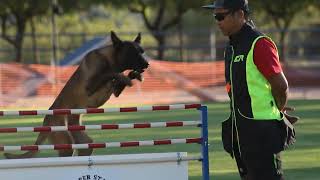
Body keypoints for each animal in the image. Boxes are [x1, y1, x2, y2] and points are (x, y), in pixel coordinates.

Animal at [4, 31, 149, 159]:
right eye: (133, 53)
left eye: (142, 51)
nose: (147, 64)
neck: (109, 58)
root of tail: (46, 122)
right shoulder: (90, 87)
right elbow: (110, 73)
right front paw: (125, 77)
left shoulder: (115, 90)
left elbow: (118, 78)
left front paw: (134, 75)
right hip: (65, 142)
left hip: (83, 141)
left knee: (85, 147)